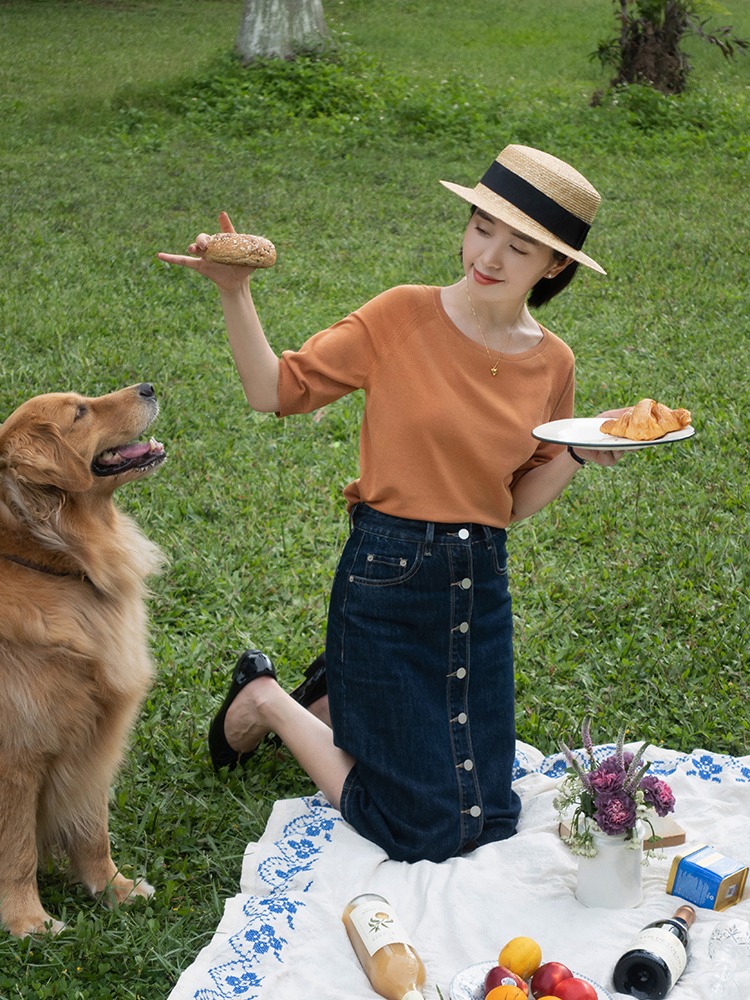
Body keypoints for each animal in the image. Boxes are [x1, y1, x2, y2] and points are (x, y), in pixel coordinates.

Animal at [0, 382, 166, 936]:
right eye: (79, 413)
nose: (148, 386)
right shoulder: (16, 757)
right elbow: (18, 850)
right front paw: (28, 923)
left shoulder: (94, 735)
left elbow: (93, 830)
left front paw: (113, 889)